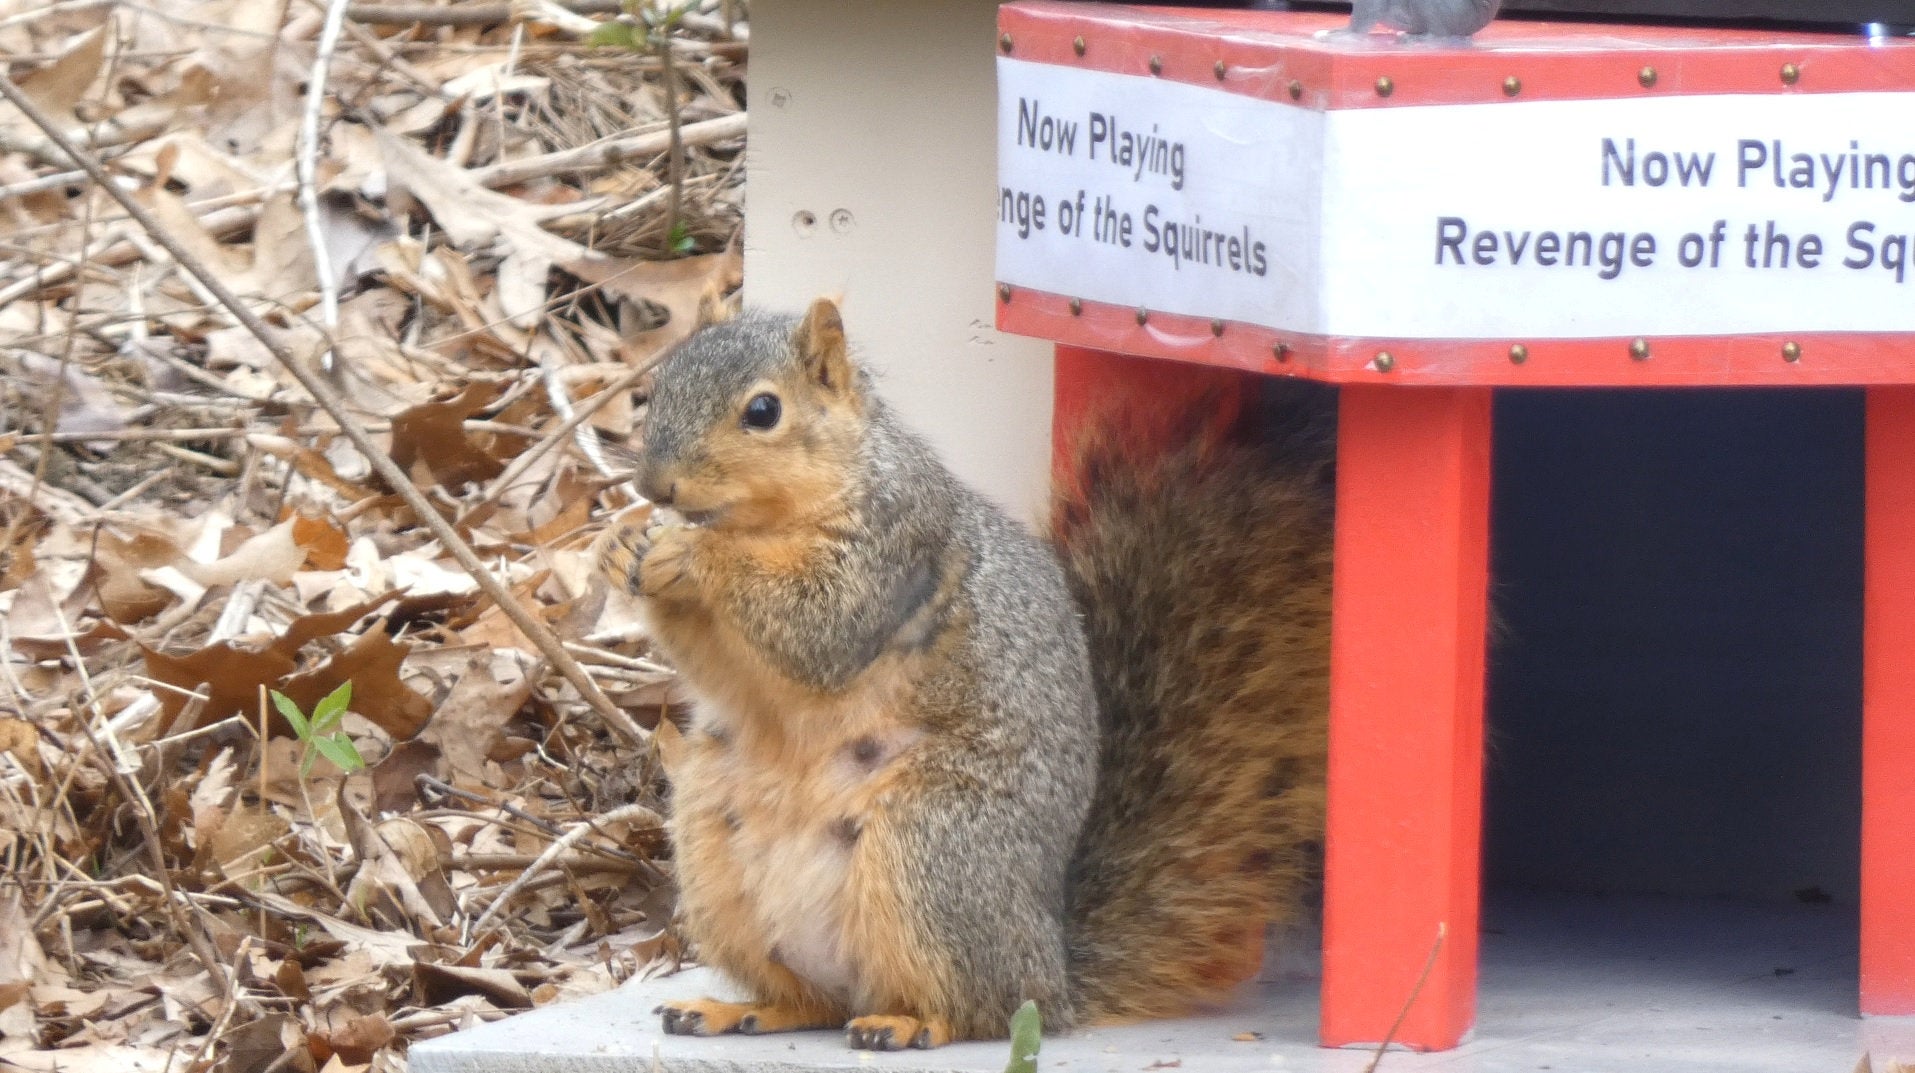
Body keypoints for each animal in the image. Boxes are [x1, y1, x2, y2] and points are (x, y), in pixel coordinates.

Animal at [601, 296, 1332, 1050]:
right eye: (660, 386)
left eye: (763, 410)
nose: (652, 486)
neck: (773, 518)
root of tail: (1052, 973)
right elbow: (717, 669)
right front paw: (629, 547)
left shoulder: (891, 551)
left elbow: (816, 624)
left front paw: (691, 552)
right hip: (713, 852)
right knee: (815, 1001)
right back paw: (737, 1009)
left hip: (931, 846)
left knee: (980, 1007)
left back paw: (906, 1023)